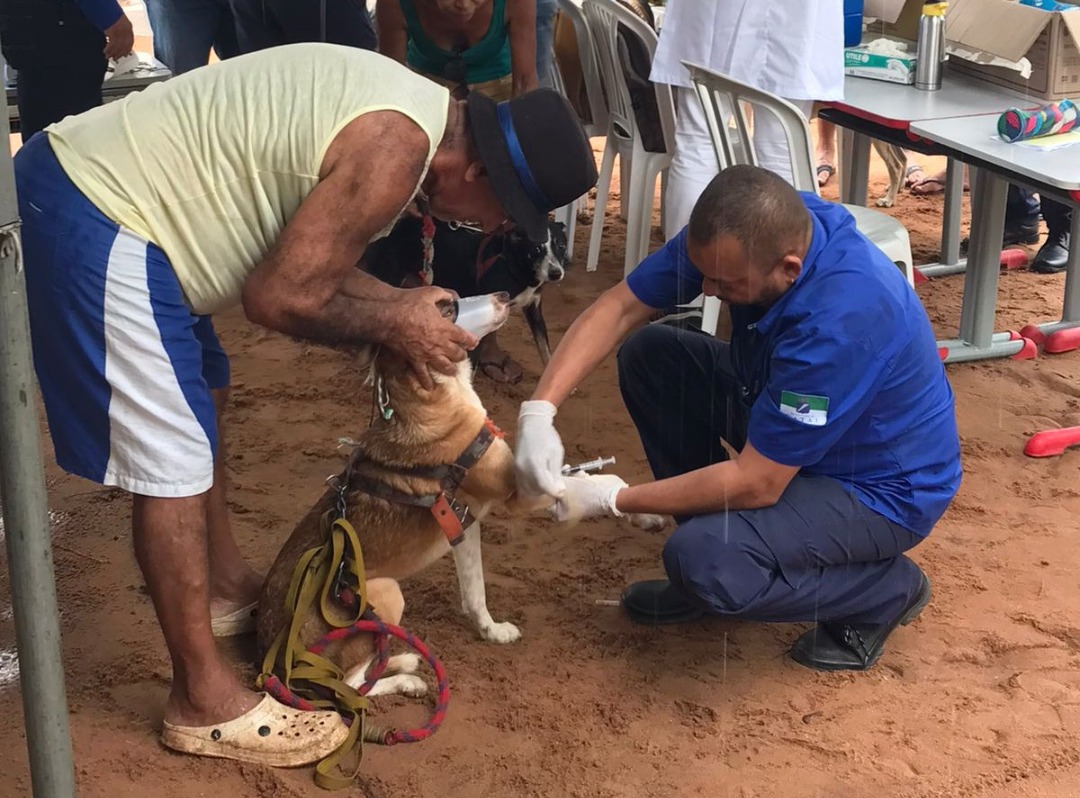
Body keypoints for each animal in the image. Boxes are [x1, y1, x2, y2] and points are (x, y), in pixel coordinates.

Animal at [360, 214, 570, 364]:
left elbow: (546, 350)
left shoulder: (534, 310)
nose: (556, 273)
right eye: (536, 249)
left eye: (561, 245)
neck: (514, 265)